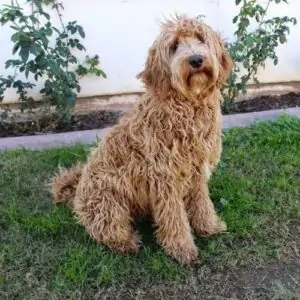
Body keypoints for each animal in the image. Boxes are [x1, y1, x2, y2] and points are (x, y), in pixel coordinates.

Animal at [51, 15, 233, 264]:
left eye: (200, 38)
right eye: (174, 46)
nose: (196, 59)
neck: (187, 105)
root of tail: (77, 191)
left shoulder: (196, 170)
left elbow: (202, 201)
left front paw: (209, 226)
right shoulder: (165, 177)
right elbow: (174, 217)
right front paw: (182, 248)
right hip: (108, 200)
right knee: (104, 228)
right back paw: (127, 242)